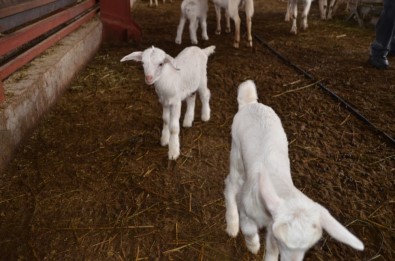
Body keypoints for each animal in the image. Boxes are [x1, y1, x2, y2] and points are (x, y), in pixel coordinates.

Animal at [226, 80, 366, 258]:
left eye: (308, 248)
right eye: (282, 242)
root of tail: (251, 104)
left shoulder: (272, 227)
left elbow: (271, 252)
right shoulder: (247, 212)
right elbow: (249, 231)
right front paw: (253, 246)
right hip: (236, 154)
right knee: (230, 184)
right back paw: (232, 224)